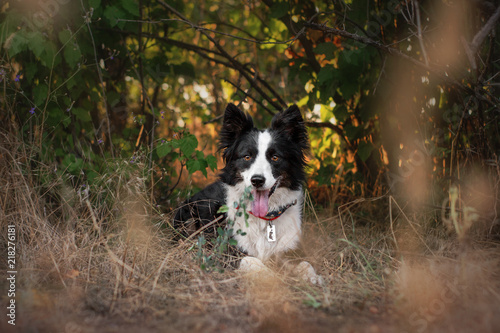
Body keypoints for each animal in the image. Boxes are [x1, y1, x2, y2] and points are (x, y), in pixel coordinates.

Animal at [174, 102, 318, 282]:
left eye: (275, 157)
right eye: (247, 157)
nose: (257, 180)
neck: (265, 218)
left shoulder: (290, 249)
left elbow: (305, 263)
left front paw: (313, 278)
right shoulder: (226, 250)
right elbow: (252, 261)